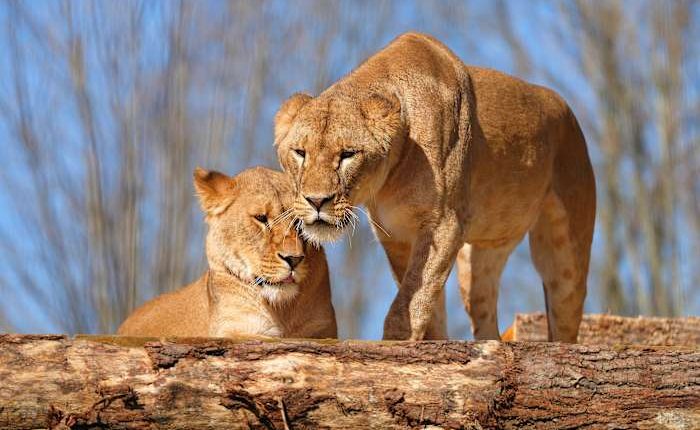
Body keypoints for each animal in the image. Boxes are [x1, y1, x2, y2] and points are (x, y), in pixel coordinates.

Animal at [117, 167, 337, 339]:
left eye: (300, 223)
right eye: (261, 218)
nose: (294, 259)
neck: (283, 310)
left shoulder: (322, 330)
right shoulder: (232, 330)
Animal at [274, 32, 595, 342]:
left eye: (348, 154)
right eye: (300, 153)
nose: (317, 201)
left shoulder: (443, 224)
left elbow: (412, 300)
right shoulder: (396, 236)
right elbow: (427, 303)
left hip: (566, 257)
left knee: (566, 325)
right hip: (480, 259)